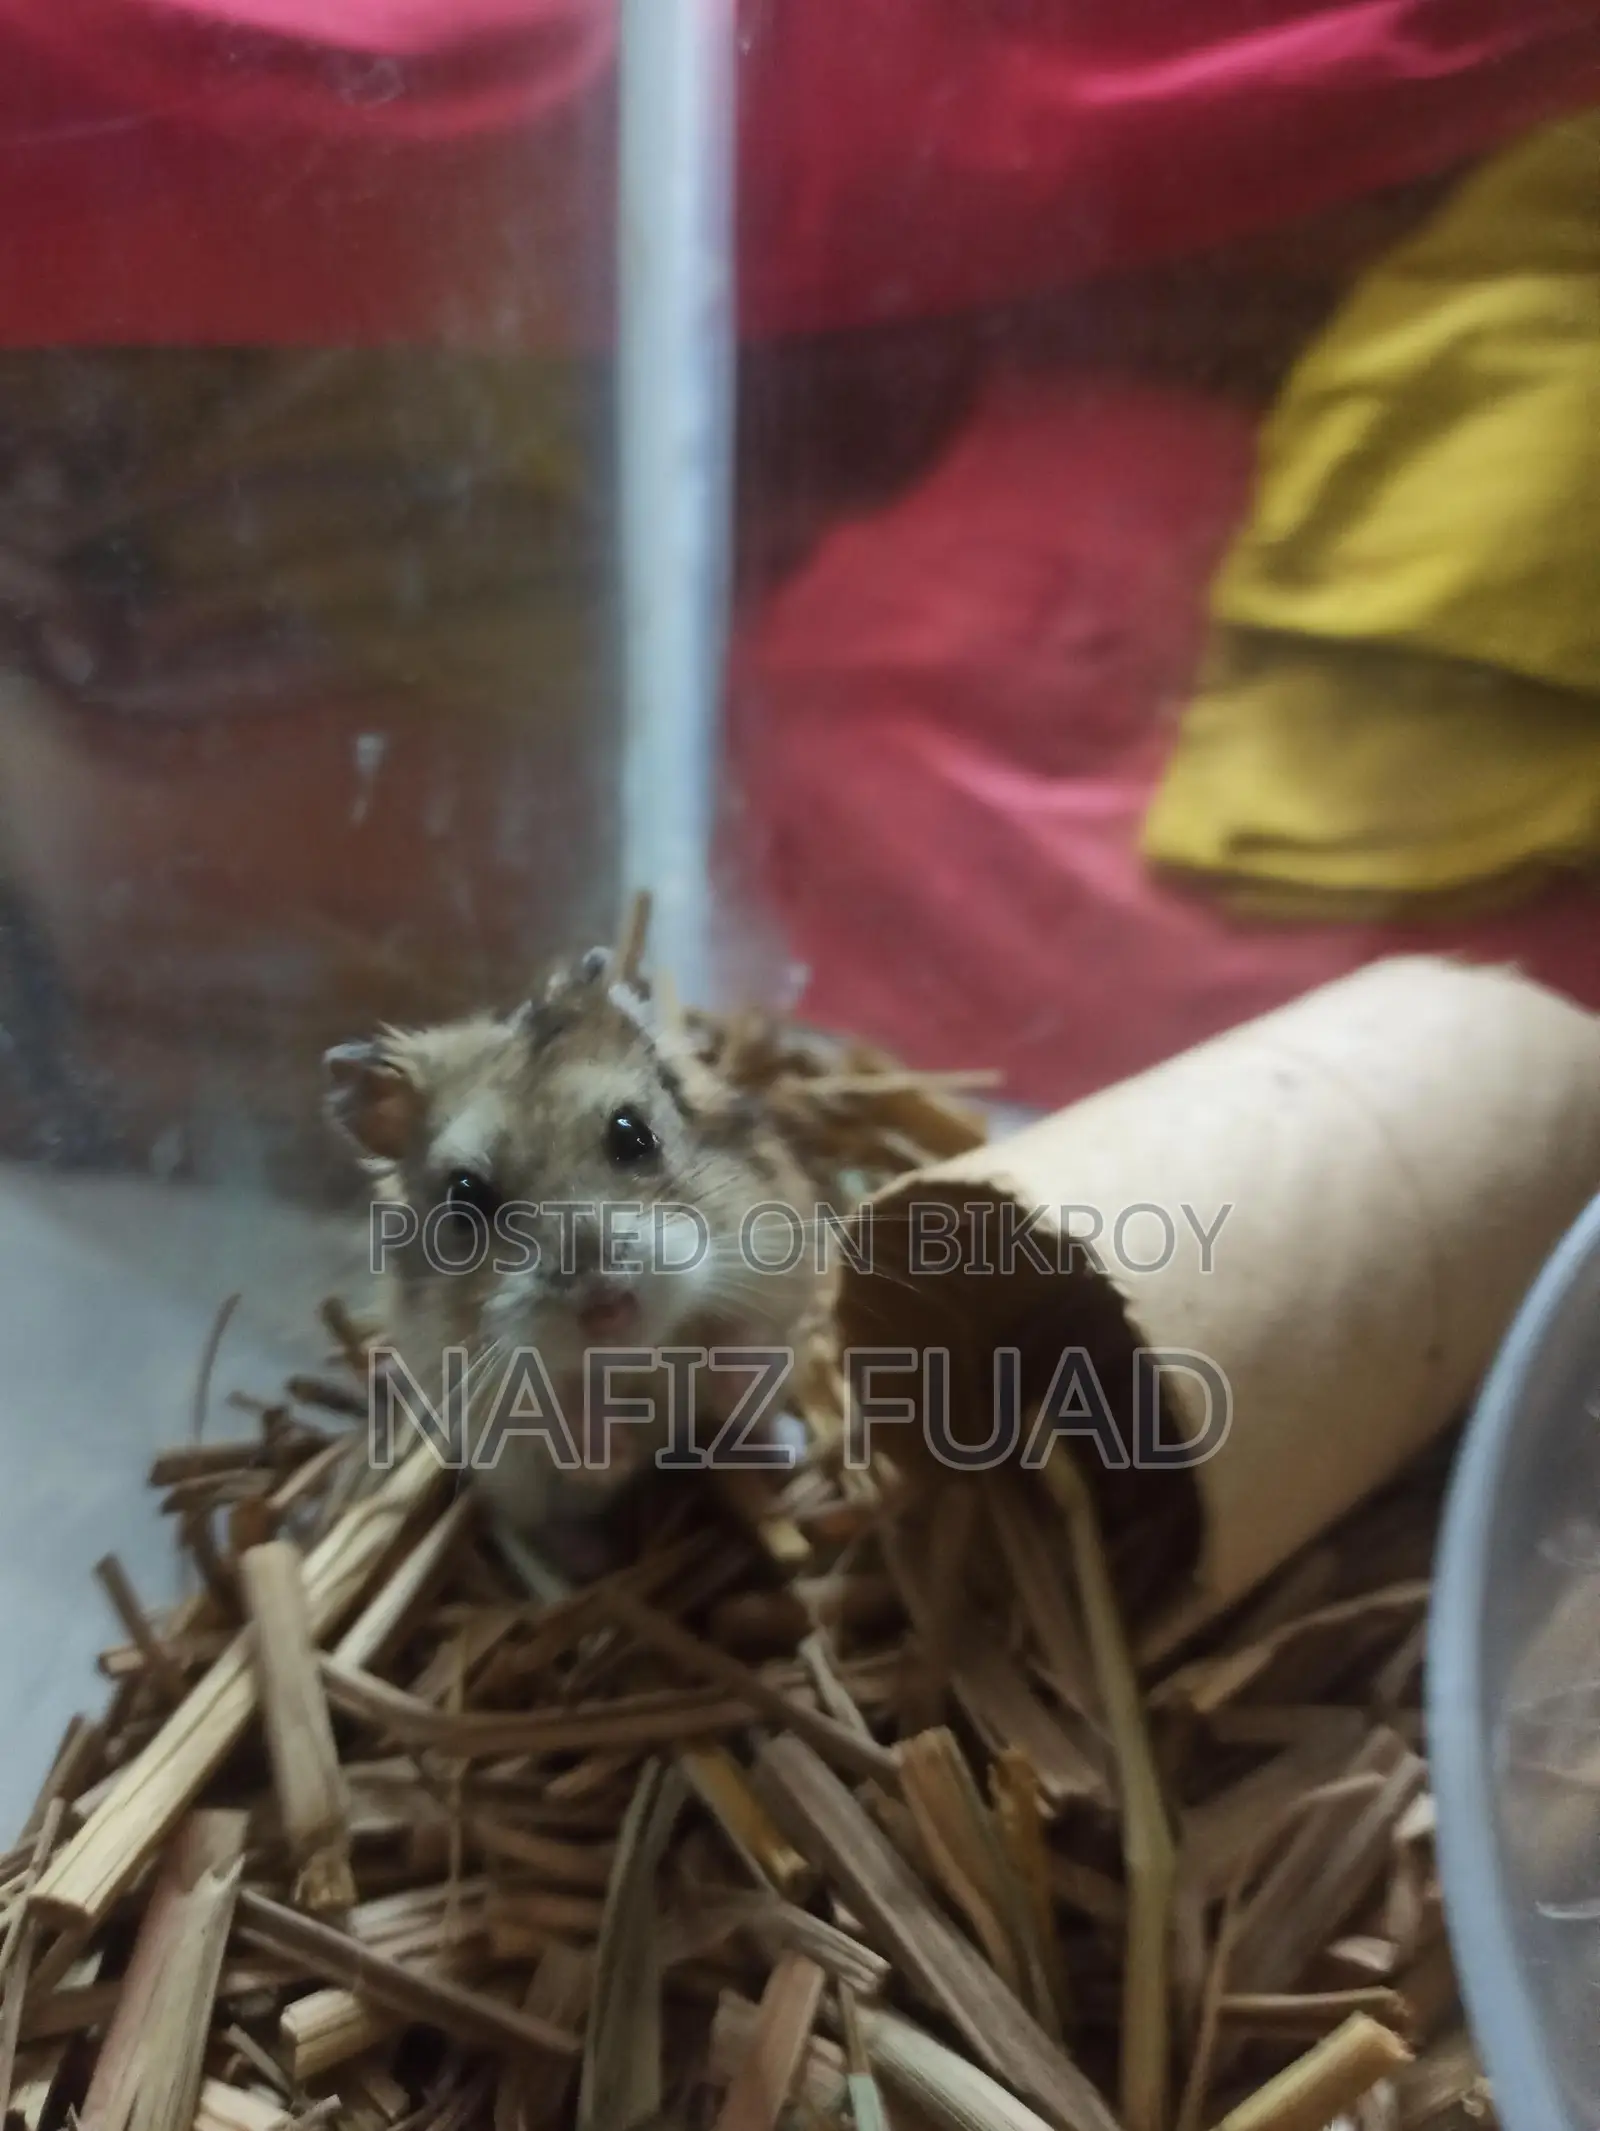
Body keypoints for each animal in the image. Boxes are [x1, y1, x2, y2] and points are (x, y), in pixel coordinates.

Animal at [322, 943, 822, 1556]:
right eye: (464, 1197)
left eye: (633, 1134)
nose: (607, 1308)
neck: (634, 1354)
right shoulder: (482, 1390)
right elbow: (558, 1411)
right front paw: (616, 1454)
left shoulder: (778, 1270)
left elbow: (743, 1338)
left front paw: (732, 1384)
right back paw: (585, 1555)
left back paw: (788, 1448)